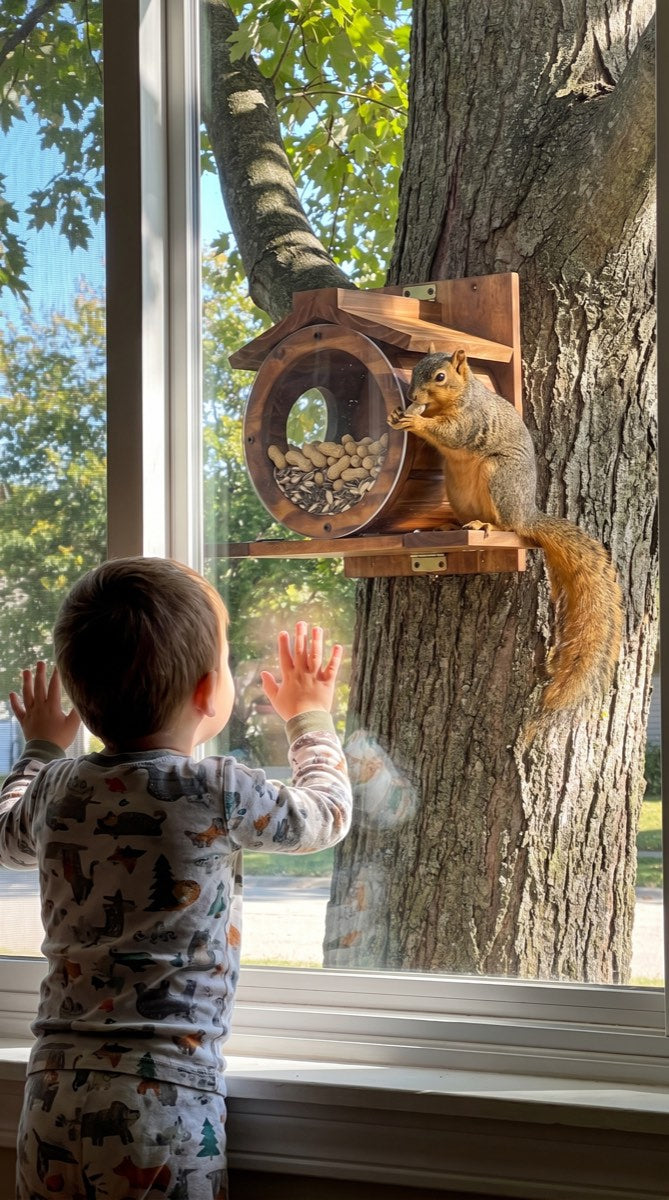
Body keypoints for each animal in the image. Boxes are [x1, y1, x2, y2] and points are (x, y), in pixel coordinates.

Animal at [387, 349, 623, 719]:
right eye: (415, 371)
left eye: (440, 377)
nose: (411, 396)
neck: (458, 397)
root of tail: (528, 515)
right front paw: (398, 414)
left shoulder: (472, 420)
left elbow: (452, 433)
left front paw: (417, 423)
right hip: (457, 489)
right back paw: (451, 526)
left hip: (498, 476)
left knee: (509, 525)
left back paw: (488, 526)